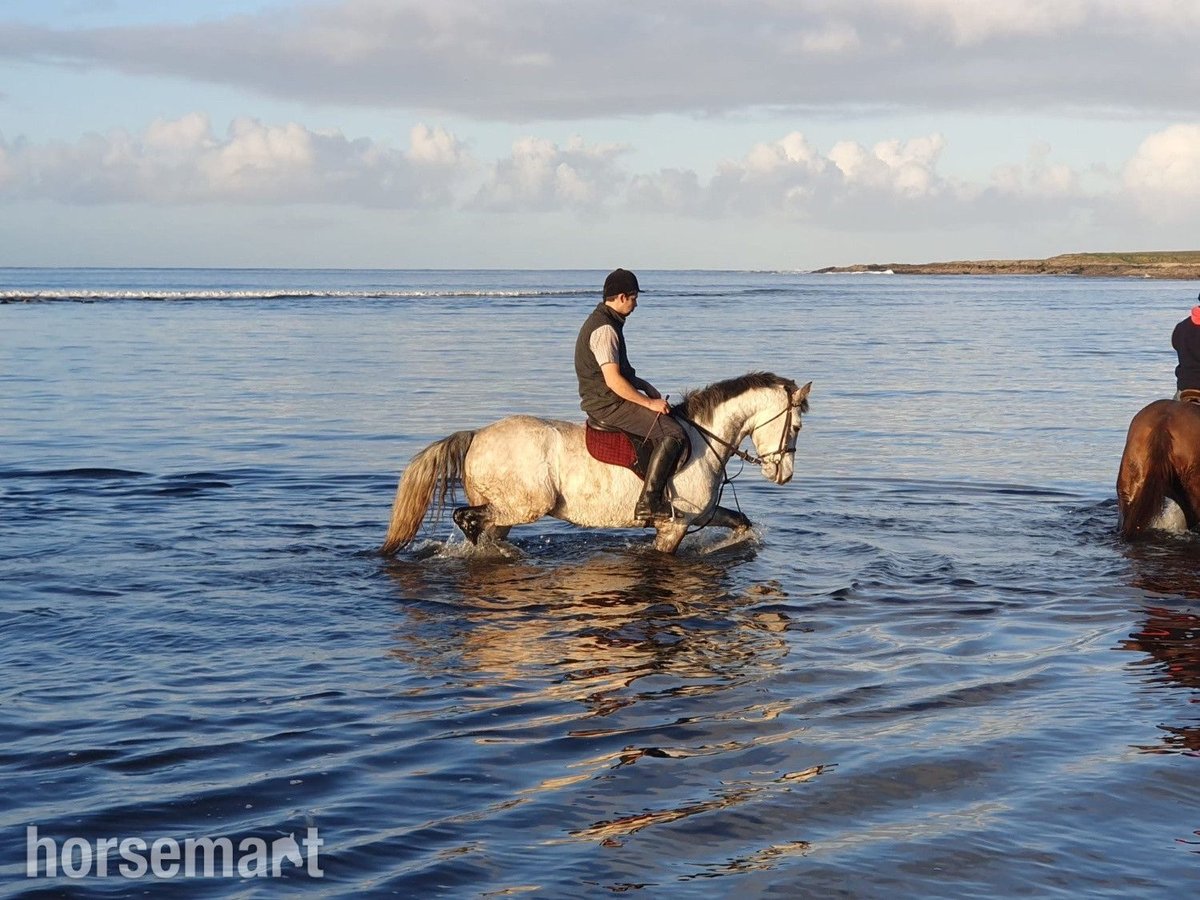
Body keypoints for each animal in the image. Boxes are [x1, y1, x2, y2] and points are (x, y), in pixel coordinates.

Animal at [381, 372, 812, 555]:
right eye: (797, 426)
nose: (784, 475)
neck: (702, 438)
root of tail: (477, 434)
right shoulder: (674, 525)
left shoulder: (698, 516)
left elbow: (741, 524)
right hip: (521, 507)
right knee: (467, 519)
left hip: (505, 512)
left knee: (483, 528)